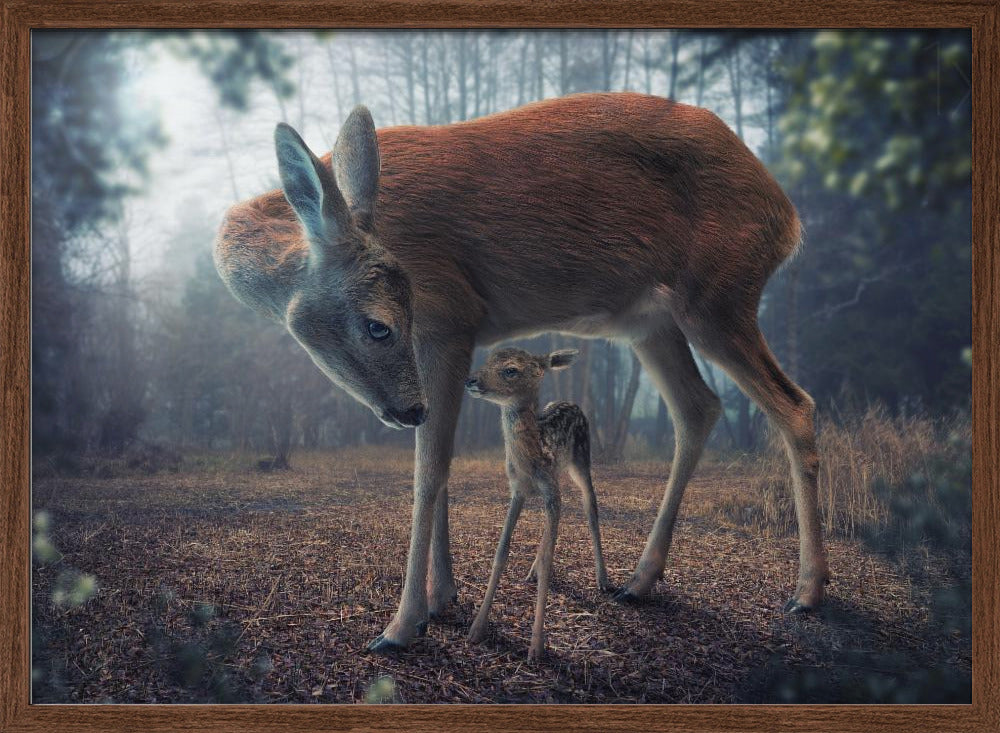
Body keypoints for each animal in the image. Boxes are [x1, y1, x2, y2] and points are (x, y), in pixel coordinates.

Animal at [464, 346, 609, 660]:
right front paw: (476, 629)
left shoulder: (550, 490)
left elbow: (550, 556)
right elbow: (501, 551)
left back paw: (603, 579)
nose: (471, 380)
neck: (531, 459)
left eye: (510, 370)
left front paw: (536, 647)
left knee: (590, 506)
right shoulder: (517, 490)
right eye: (488, 358)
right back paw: (532, 570)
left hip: (581, 460)